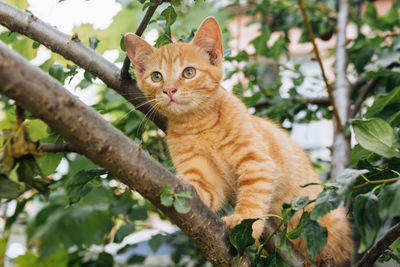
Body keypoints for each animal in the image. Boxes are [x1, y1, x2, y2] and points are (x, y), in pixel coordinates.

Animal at [125, 17, 354, 266]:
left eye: (188, 72)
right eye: (156, 76)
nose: (168, 90)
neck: (199, 125)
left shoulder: (257, 161)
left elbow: (252, 196)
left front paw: (244, 222)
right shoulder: (204, 174)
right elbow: (201, 190)